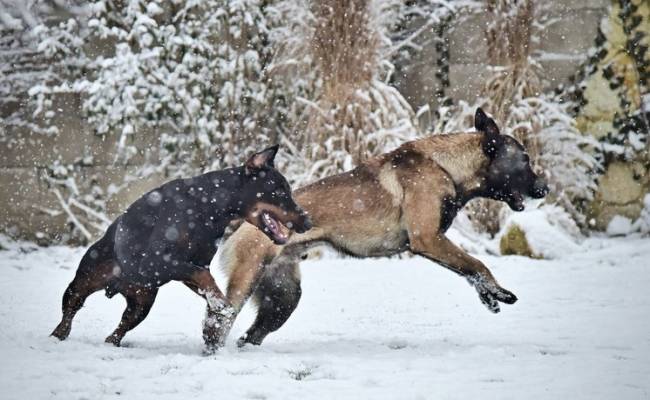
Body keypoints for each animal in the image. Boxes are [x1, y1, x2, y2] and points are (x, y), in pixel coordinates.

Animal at [52, 146, 310, 350]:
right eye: (279, 191)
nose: (307, 222)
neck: (209, 206)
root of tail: (115, 287)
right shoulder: (157, 261)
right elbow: (203, 276)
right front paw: (221, 307)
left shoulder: (193, 265)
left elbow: (207, 283)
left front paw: (218, 312)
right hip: (83, 281)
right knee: (70, 310)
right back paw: (58, 335)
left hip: (142, 303)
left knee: (121, 327)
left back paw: (111, 343)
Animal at [219, 108, 548, 346]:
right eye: (524, 160)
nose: (544, 189)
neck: (446, 167)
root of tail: (243, 222)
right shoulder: (428, 239)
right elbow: (477, 264)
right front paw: (499, 291)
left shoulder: (434, 243)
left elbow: (468, 270)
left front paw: (489, 296)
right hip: (247, 283)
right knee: (221, 322)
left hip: (283, 299)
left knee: (250, 336)